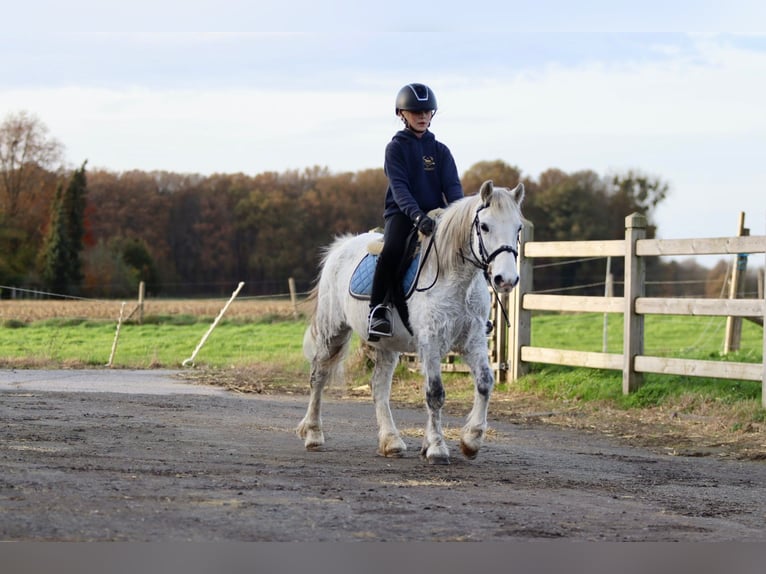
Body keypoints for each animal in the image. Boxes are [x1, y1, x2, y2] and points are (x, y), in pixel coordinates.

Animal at [296, 182, 524, 466]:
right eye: (484, 226)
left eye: (518, 227)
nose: (507, 279)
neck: (457, 279)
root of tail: (342, 245)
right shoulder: (431, 340)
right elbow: (435, 393)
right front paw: (437, 448)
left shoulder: (472, 340)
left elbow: (484, 383)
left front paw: (470, 441)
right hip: (333, 330)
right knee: (319, 376)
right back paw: (313, 435)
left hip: (386, 345)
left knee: (379, 387)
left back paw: (391, 441)